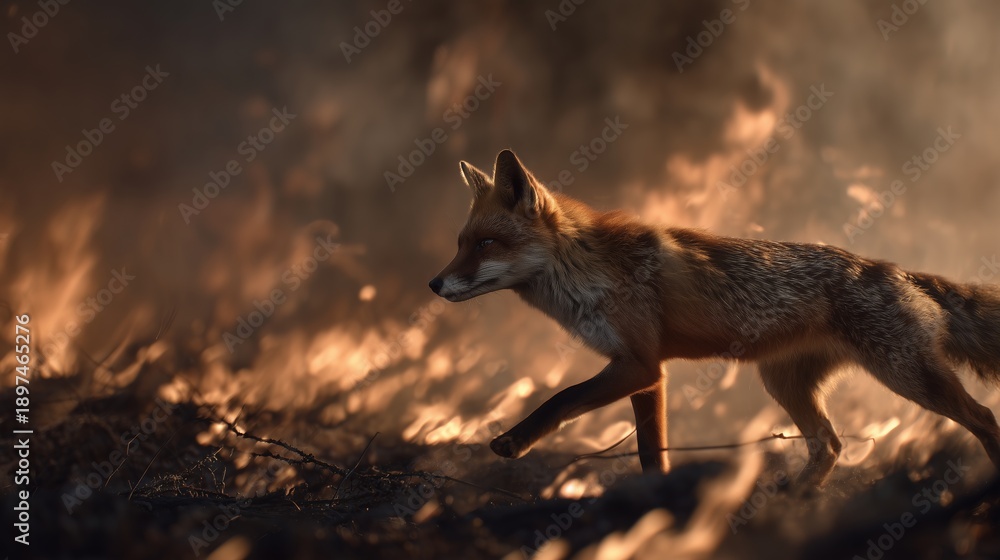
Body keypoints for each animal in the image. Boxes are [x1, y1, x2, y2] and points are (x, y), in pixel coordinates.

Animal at [428, 149, 1000, 487]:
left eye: (486, 244)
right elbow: (651, 454)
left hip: (908, 375)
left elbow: (560, 398)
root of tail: (894, 268)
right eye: (459, 244)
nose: (434, 284)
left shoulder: (637, 364)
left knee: (984, 418)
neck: (589, 270)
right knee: (830, 445)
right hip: (784, 383)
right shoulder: (646, 375)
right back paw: (794, 503)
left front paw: (515, 440)